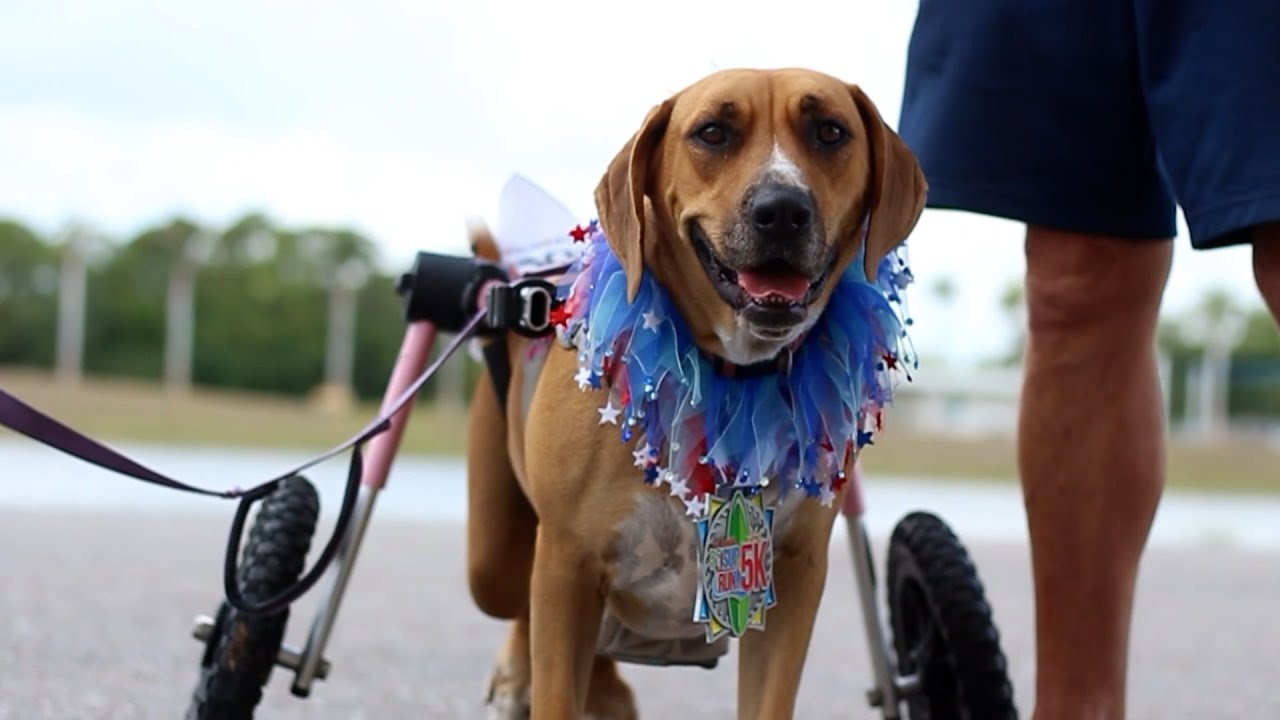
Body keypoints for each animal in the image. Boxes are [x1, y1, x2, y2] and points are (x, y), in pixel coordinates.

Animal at [465, 64, 926, 712]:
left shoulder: (791, 577)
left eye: (830, 131)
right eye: (712, 132)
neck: (730, 370)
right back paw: (517, 675)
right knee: (515, 605)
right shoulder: (565, 564)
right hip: (496, 561)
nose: (782, 209)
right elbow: (555, 686)